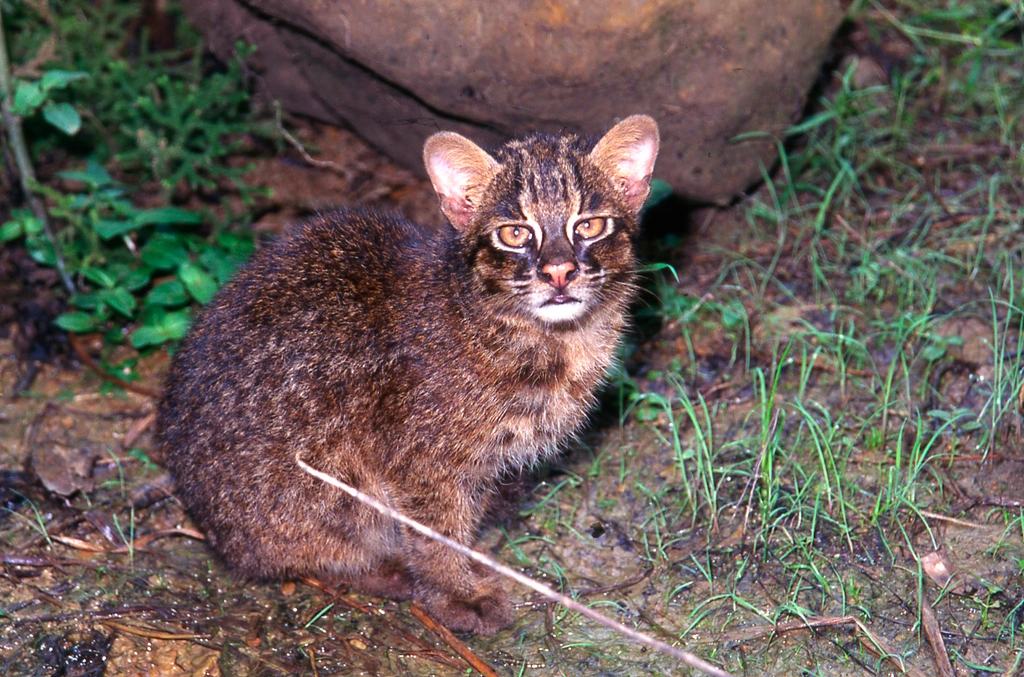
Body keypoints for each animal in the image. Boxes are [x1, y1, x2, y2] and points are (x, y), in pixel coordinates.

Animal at [156, 116, 659, 635]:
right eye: (514, 233)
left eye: (590, 225)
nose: (559, 271)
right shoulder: (421, 462)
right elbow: (436, 536)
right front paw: (458, 595)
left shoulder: (476, 468)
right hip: (327, 479)